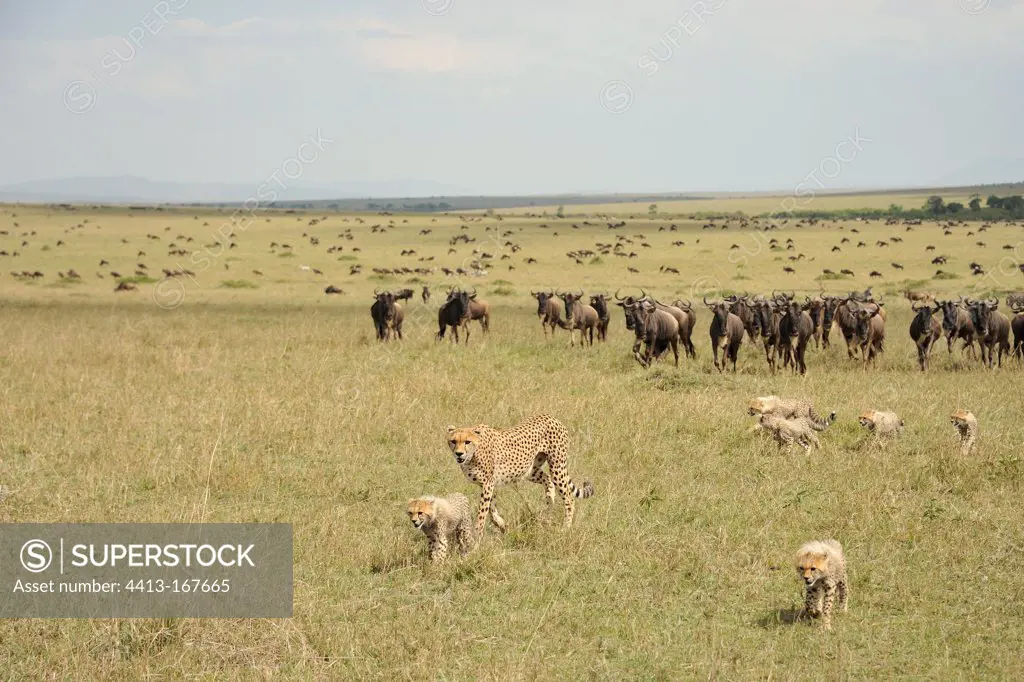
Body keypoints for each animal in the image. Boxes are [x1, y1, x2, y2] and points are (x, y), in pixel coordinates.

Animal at [444, 411, 598, 540]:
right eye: (453, 441)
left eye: (467, 442)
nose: (459, 454)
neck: (473, 454)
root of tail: (551, 417)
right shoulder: (489, 483)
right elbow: (492, 509)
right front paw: (501, 524)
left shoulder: (488, 483)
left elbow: (483, 512)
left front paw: (477, 535)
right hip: (530, 470)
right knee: (547, 480)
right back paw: (547, 506)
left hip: (557, 466)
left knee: (569, 498)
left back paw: (565, 528)